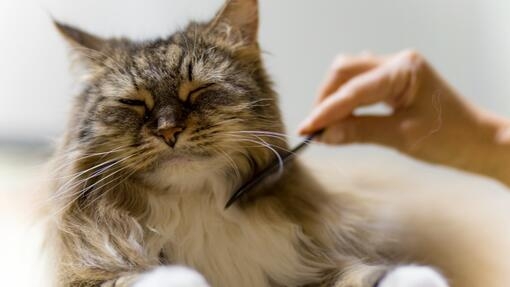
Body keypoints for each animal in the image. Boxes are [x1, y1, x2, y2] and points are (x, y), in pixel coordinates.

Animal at [44, 0, 450, 287]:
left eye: (198, 91)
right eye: (133, 103)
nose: (168, 130)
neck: (197, 207)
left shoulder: (303, 267)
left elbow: (370, 273)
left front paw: (418, 275)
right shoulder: (90, 274)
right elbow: (159, 274)